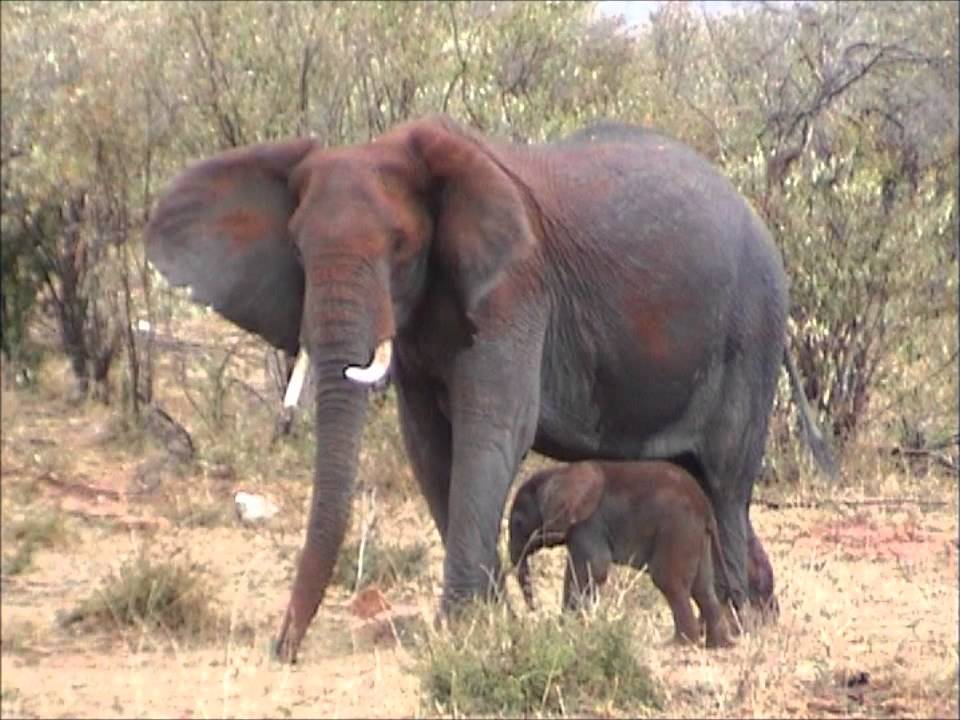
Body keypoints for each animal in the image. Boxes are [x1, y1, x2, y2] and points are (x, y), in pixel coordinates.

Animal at [508, 459, 736, 648]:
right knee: (703, 588)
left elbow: (593, 569)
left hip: (677, 529)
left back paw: (678, 644)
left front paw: (567, 627)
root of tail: (705, 506)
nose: (533, 612)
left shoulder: (589, 524)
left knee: (670, 582)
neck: (558, 473)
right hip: (697, 537)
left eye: (518, 522)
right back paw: (718, 645)